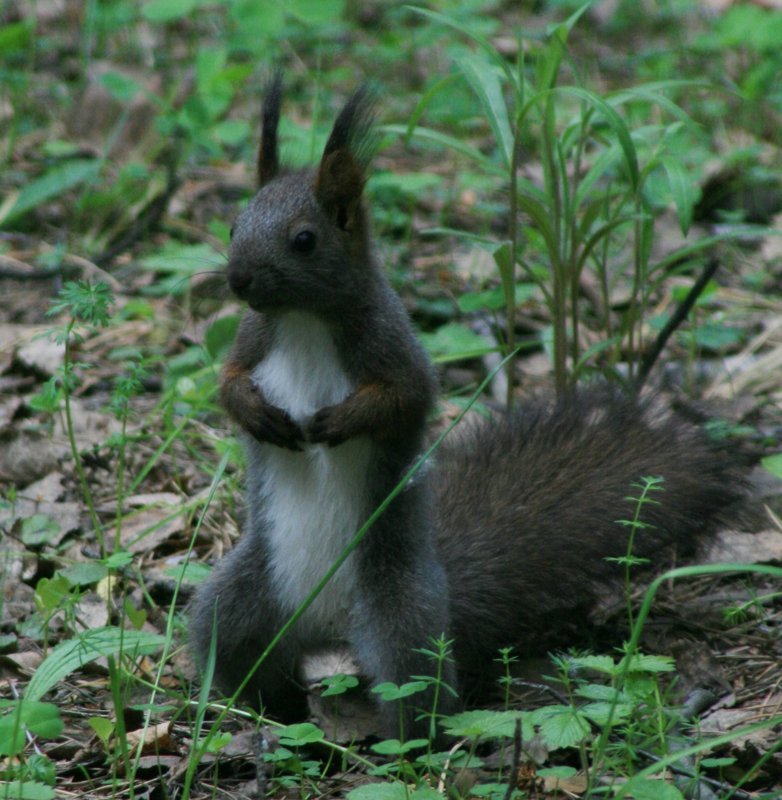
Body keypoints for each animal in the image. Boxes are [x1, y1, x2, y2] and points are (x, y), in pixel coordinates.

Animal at [188, 78, 748, 740]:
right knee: (236, 653)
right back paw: (245, 713)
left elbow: (404, 398)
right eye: (232, 225)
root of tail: (327, 631)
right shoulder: (253, 339)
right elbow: (226, 382)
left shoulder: (391, 346)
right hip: (238, 601)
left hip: (400, 620)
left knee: (421, 695)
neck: (302, 322)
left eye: (305, 239)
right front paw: (254, 412)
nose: (238, 280)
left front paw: (338, 421)